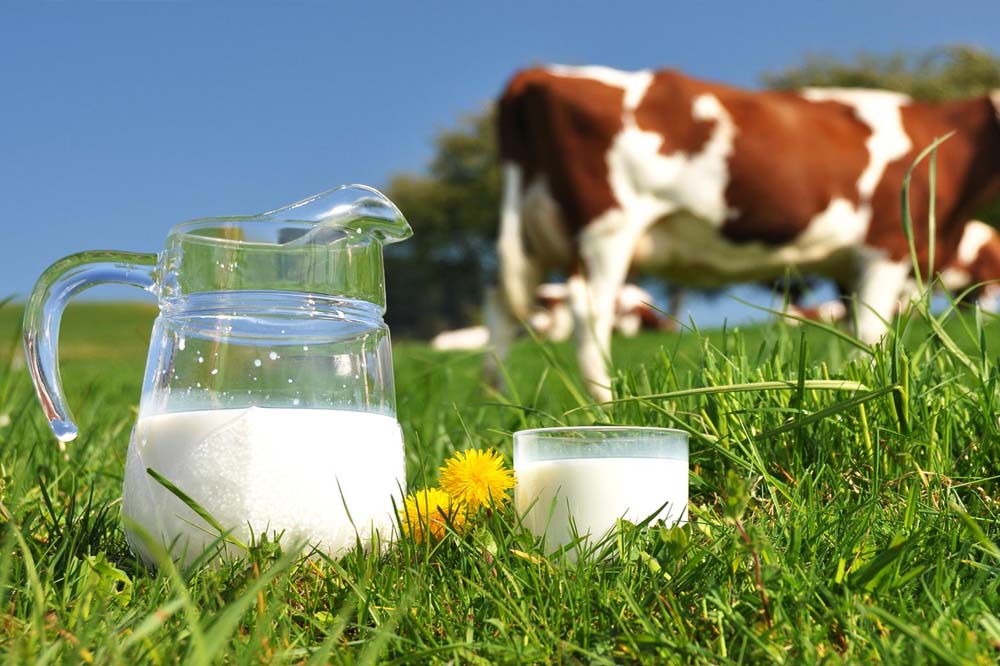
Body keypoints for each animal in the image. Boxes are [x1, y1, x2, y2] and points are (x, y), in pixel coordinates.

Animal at [492, 65, 1000, 400]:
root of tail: (538, 72)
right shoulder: (886, 245)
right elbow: (873, 329)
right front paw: (870, 386)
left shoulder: (848, 265)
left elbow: (857, 330)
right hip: (607, 230)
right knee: (588, 311)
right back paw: (605, 406)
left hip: (532, 237)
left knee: (505, 311)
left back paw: (499, 399)